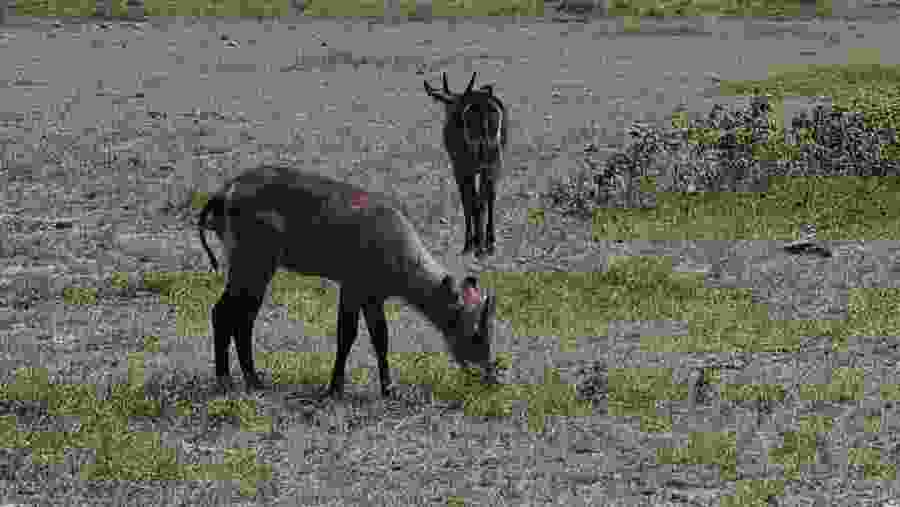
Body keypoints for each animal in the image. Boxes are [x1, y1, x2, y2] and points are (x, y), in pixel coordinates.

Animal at [196, 165, 499, 398]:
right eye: (476, 334)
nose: (489, 377)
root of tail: (225, 192)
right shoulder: (353, 287)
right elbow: (347, 335)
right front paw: (335, 388)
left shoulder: (373, 296)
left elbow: (381, 338)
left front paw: (389, 389)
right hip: (253, 266)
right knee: (224, 313)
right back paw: (230, 381)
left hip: (252, 271)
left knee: (242, 319)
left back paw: (251, 380)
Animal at [425, 71, 508, 258]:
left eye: (448, 105)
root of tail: (483, 106)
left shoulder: (459, 167)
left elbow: (466, 200)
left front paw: (470, 243)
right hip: (493, 159)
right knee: (490, 196)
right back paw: (489, 244)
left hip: (471, 162)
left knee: (477, 200)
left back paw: (476, 246)